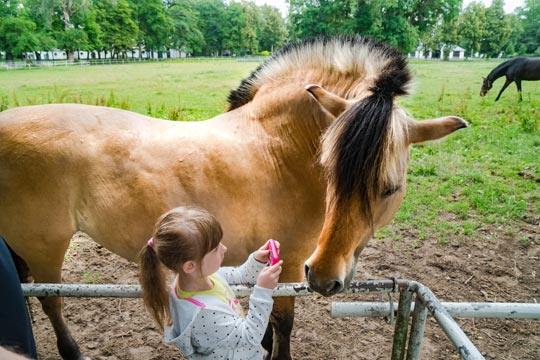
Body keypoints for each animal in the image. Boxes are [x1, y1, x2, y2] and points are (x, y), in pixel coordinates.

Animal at [0, 37, 466, 360]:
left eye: (389, 188)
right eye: (329, 171)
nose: (324, 277)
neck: (277, 146)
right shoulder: (293, 263)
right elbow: (284, 322)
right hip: (44, 248)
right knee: (50, 299)